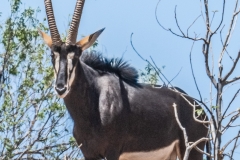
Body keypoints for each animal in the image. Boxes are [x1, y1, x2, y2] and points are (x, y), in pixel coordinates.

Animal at [39, 0, 208, 159]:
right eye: (52, 55)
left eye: (76, 56)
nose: (61, 87)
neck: (95, 99)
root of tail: (201, 111)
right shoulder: (89, 153)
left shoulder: (112, 151)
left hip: (192, 150)